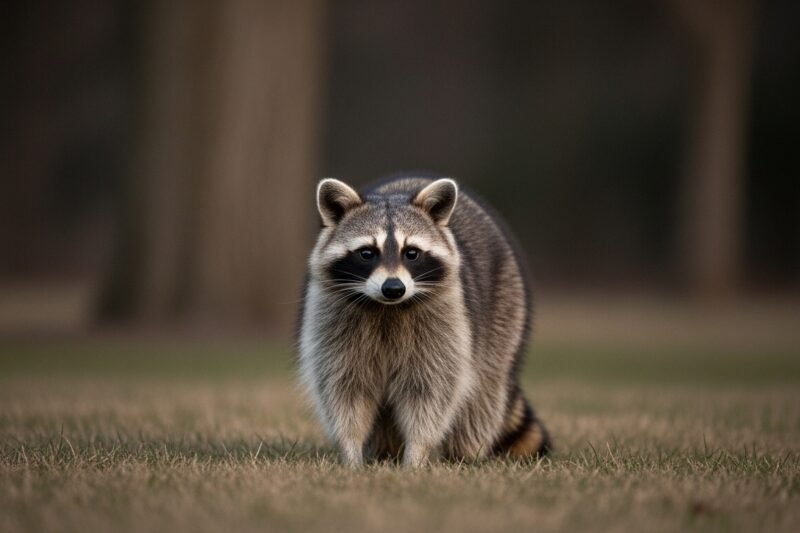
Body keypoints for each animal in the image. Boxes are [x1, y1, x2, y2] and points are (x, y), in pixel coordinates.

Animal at [298, 174, 550, 467]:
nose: (393, 288)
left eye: (412, 253)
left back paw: (465, 455)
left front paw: (415, 456)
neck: (387, 308)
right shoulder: (331, 322)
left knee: (483, 394)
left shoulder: (446, 324)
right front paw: (351, 455)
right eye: (367, 253)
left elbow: (430, 394)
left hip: (507, 308)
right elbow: (344, 391)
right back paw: (385, 453)